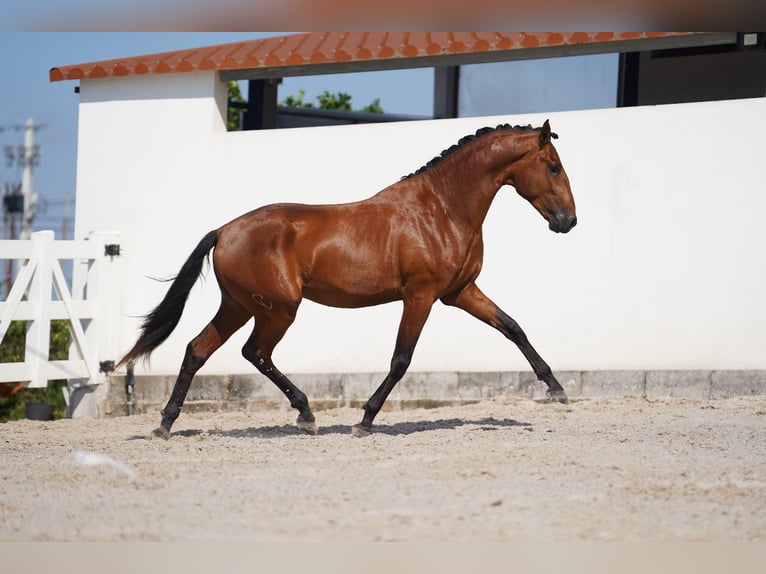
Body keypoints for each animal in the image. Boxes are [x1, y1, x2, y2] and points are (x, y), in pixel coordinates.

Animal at [118, 119, 576, 438]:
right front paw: (365, 420)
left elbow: (513, 328)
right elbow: (401, 359)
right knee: (255, 352)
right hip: (278, 310)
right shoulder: (420, 296)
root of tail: (224, 230)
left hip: (238, 306)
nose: (569, 222)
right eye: (553, 167)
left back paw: (166, 424)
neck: (440, 210)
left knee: (198, 350)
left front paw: (557, 390)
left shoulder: (460, 292)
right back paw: (305, 415)